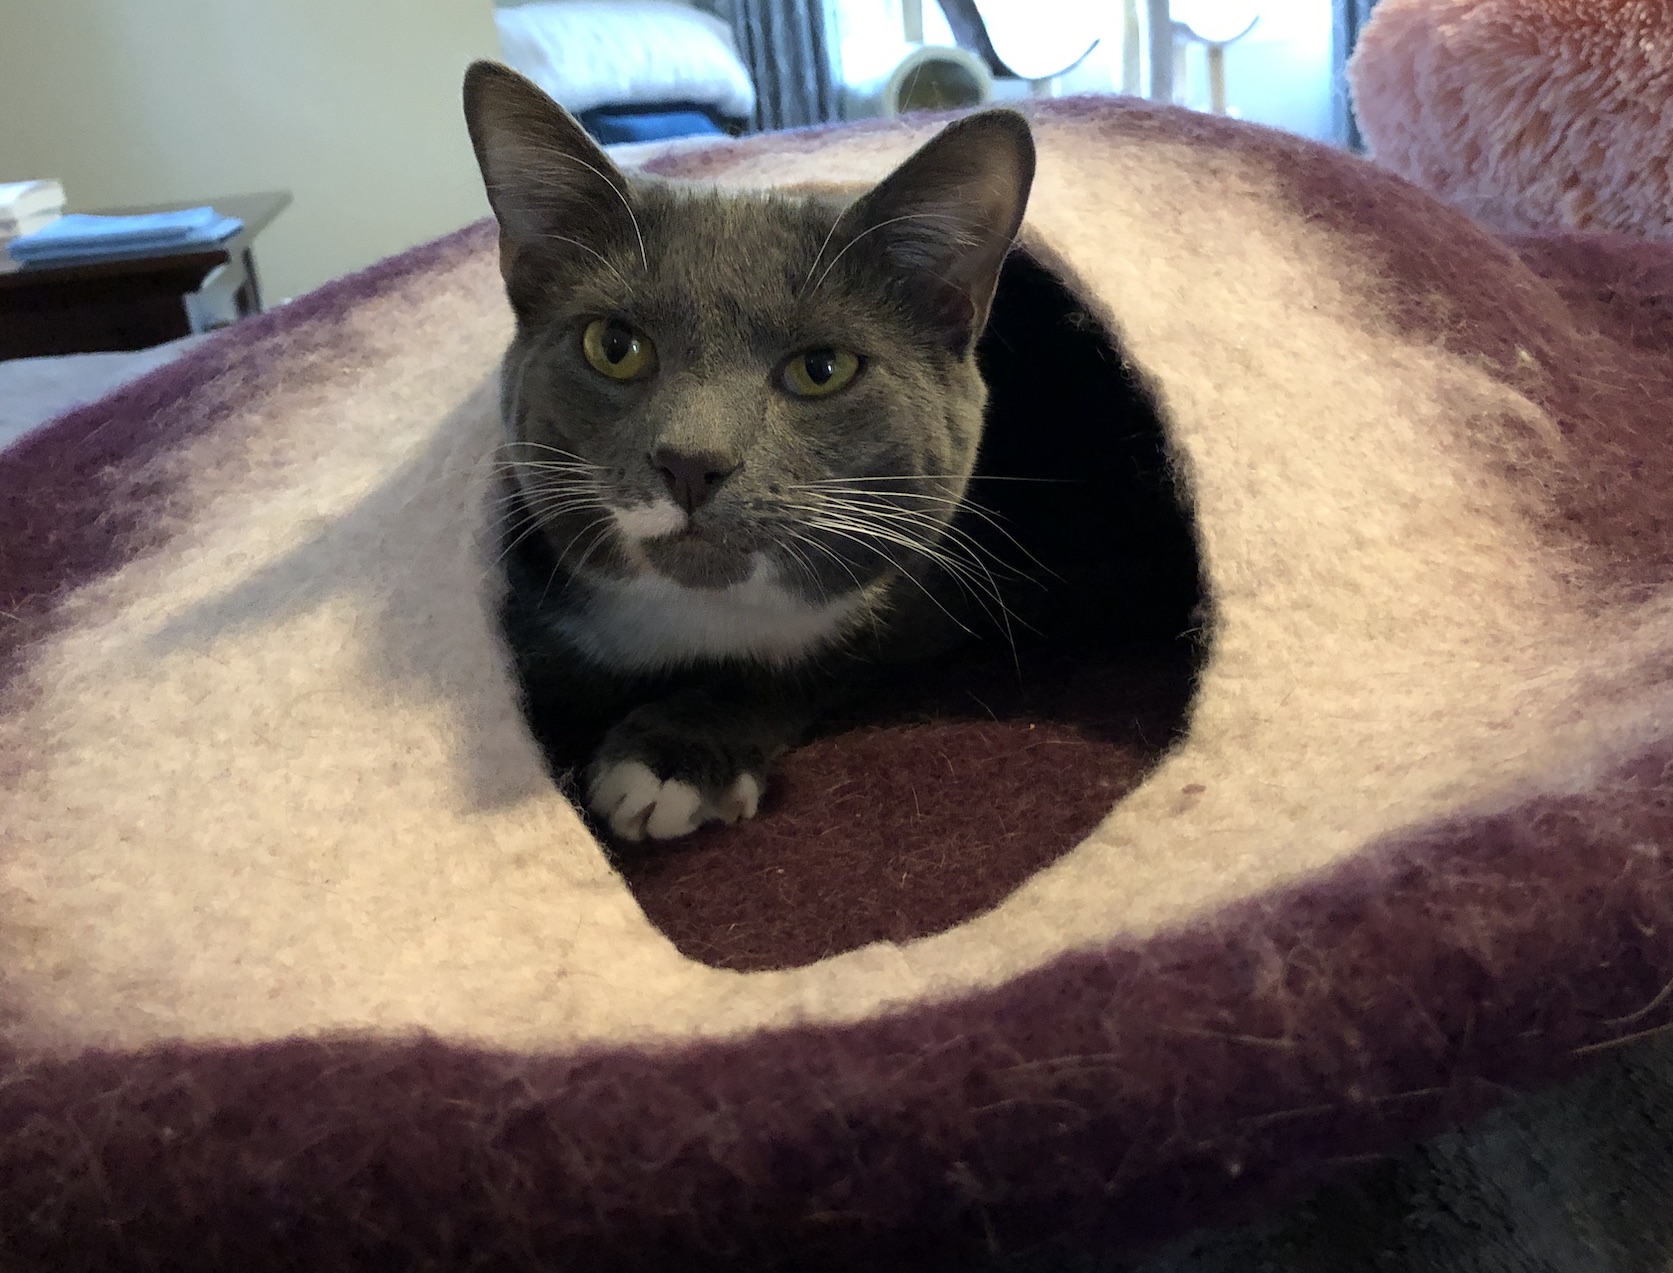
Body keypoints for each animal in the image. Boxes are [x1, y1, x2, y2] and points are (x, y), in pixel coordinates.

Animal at [461, 66, 1030, 843]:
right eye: (614, 346)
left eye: (822, 368)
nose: (690, 461)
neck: (696, 621)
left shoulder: (923, 608)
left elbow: (810, 665)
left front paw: (671, 761)